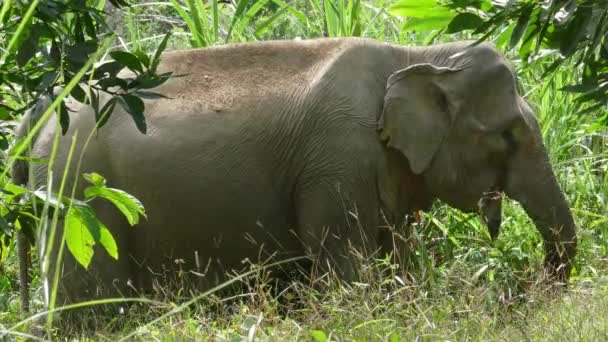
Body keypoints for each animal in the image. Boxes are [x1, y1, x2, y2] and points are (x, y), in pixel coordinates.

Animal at [13, 38, 576, 308]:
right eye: (507, 135)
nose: (522, 287)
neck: (418, 56)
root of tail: (42, 108)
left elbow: (396, 255)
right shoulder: (338, 158)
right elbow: (345, 262)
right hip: (77, 201)